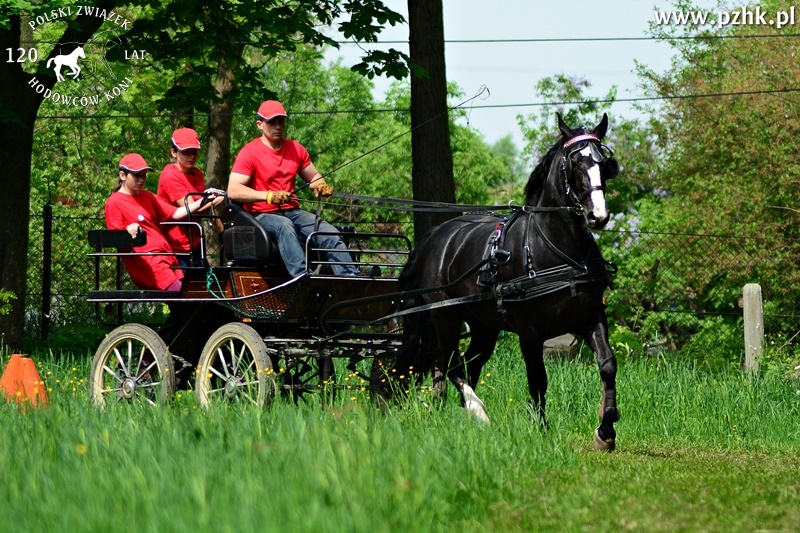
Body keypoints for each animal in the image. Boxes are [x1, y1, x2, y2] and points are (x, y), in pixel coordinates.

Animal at [390, 112, 620, 448]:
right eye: (575, 163)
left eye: (604, 163)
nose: (598, 215)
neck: (558, 250)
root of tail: (435, 236)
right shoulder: (530, 332)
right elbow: (538, 379)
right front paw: (541, 428)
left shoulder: (590, 316)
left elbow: (607, 365)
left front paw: (606, 430)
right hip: (445, 317)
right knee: (450, 364)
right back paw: (476, 410)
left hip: (483, 326)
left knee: (465, 364)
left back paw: (462, 414)